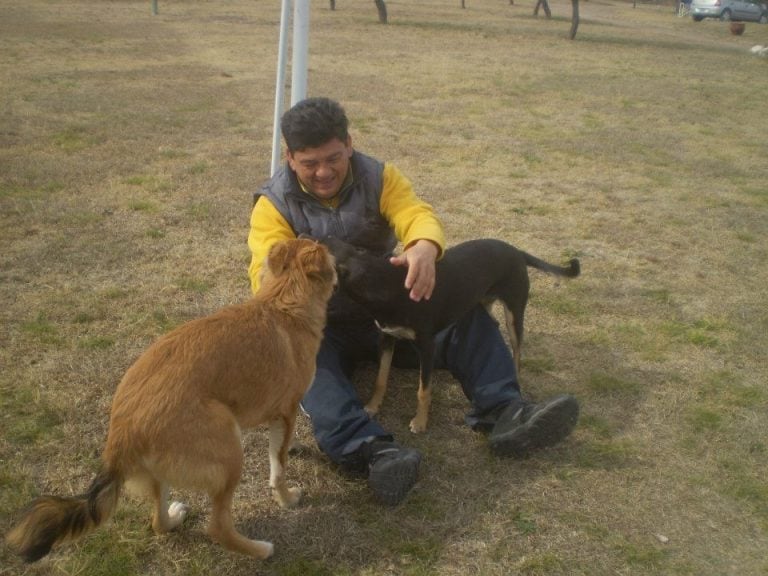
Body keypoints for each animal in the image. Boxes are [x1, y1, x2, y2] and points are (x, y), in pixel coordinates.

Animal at [6, 237, 336, 564]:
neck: (283, 302)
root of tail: (122, 433)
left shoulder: (280, 417)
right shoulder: (286, 412)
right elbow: (278, 469)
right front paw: (288, 499)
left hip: (161, 473)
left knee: (158, 522)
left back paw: (175, 517)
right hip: (230, 451)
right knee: (217, 527)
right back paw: (260, 550)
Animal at [320, 235, 580, 432]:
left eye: (324, 249)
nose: (321, 235)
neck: (387, 283)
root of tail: (517, 251)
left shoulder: (427, 347)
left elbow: (423, 391)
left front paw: (420, 423)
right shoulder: (386, 337)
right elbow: (380, 379)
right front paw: (373, 407)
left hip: (514, 311)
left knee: (517, 350)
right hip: (482, 300)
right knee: (494, 322)